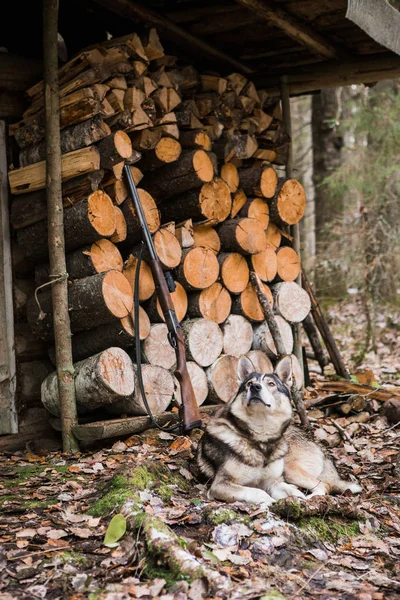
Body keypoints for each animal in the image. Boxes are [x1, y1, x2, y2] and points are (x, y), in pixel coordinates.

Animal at [198, 356, 362, 506]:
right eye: (249, 384)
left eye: (271, 384)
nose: (255, 387)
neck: (261, 438)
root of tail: (316, 443)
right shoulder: (220, 485)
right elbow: (257, 491)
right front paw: (271, 501)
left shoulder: (271, 482)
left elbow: (286, 490)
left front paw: (296, 499)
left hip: (290, 469)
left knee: (323, 485)